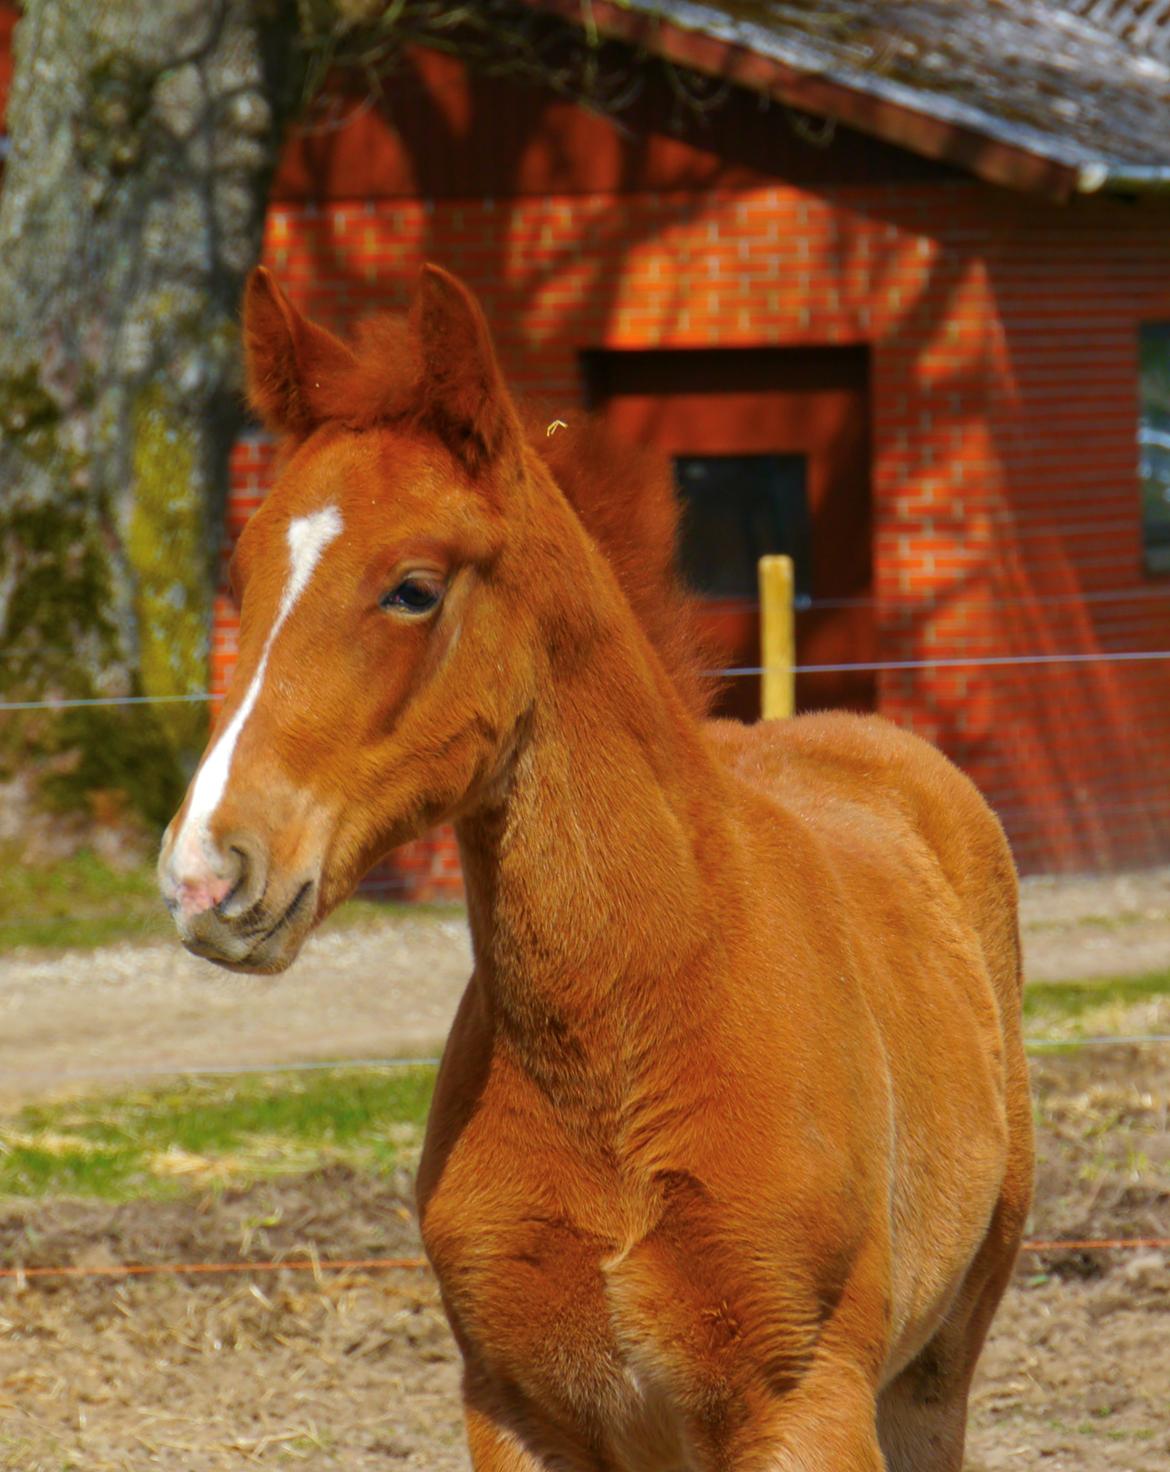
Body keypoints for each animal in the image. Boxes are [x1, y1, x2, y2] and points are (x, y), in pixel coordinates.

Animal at [158, 264, 1036, 1472]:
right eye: (241, 573)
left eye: (414, 587)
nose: (207, 871)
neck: (624, 1035)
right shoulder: (515, 1406)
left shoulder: (806, 1401)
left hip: (937, 1364)